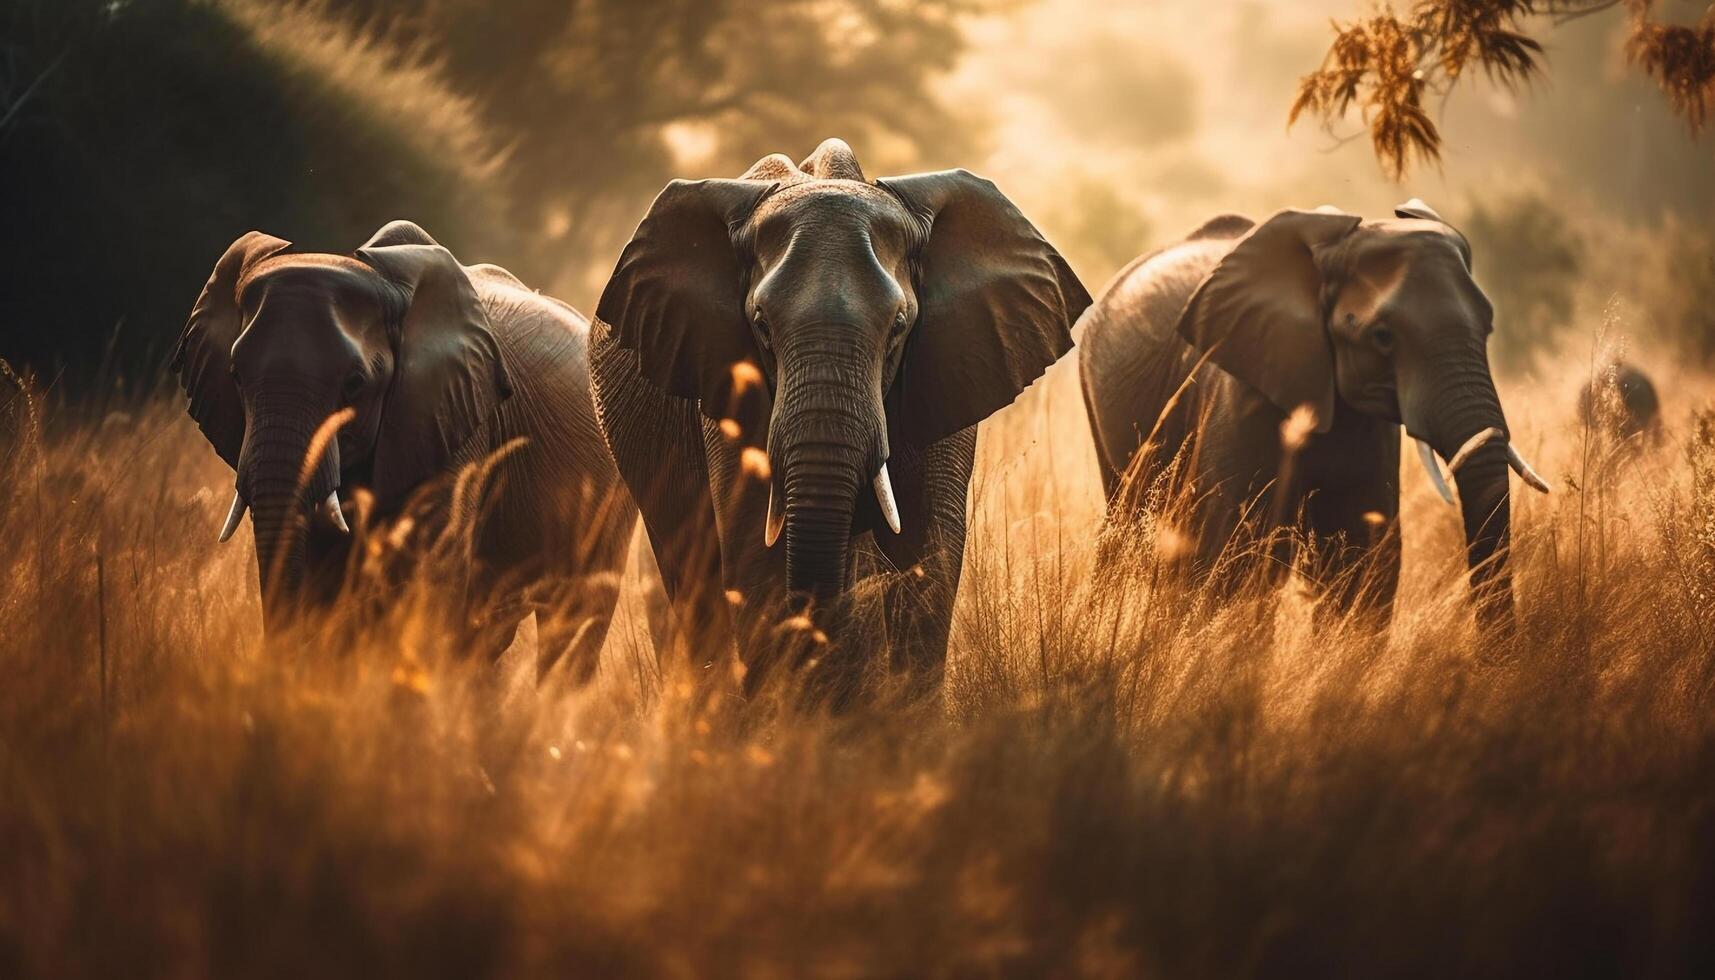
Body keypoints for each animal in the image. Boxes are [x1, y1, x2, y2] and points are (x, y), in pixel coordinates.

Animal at [1077, 201, 1550, 628]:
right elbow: (1232, 553)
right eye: (1382, 337)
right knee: (1128, 525)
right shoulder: (1245, 395)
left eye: (1488, 327)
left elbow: (1360, 560)